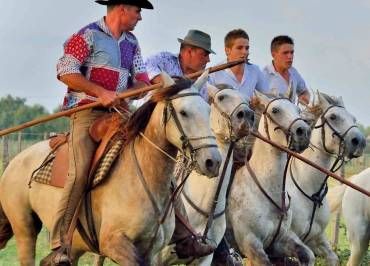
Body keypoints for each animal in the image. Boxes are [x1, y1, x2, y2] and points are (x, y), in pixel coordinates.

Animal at [0, 71, 223, 264]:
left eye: (208, 111)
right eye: (184, 112)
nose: (213, 162)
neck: (142, 175)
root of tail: (14, 162)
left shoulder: (151, 251)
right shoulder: (114, 244)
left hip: (74, 246)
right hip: (25, 230)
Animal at [227, 90, 314, 264]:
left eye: (298, 110)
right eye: (275, 110)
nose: (304, 132)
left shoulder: (279, 242)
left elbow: (307, 254)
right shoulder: (250, 243)